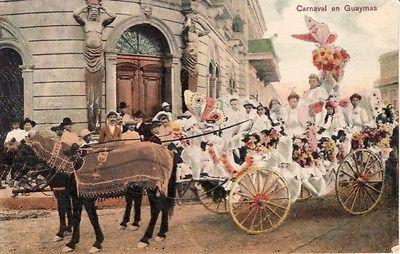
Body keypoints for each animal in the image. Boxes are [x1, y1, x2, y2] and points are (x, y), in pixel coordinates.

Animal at [16, 137, 177, 254]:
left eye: (25, 153)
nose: (14, 175)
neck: (70, 165)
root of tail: (166, 150)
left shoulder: (84, 197)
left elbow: (92, 218)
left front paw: (97, 242)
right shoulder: (75, 196)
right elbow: (75, 217)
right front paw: (71, 242)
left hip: (152, 186)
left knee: (155, 209)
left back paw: (145, 238)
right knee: (161, 206)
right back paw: (160, 232)